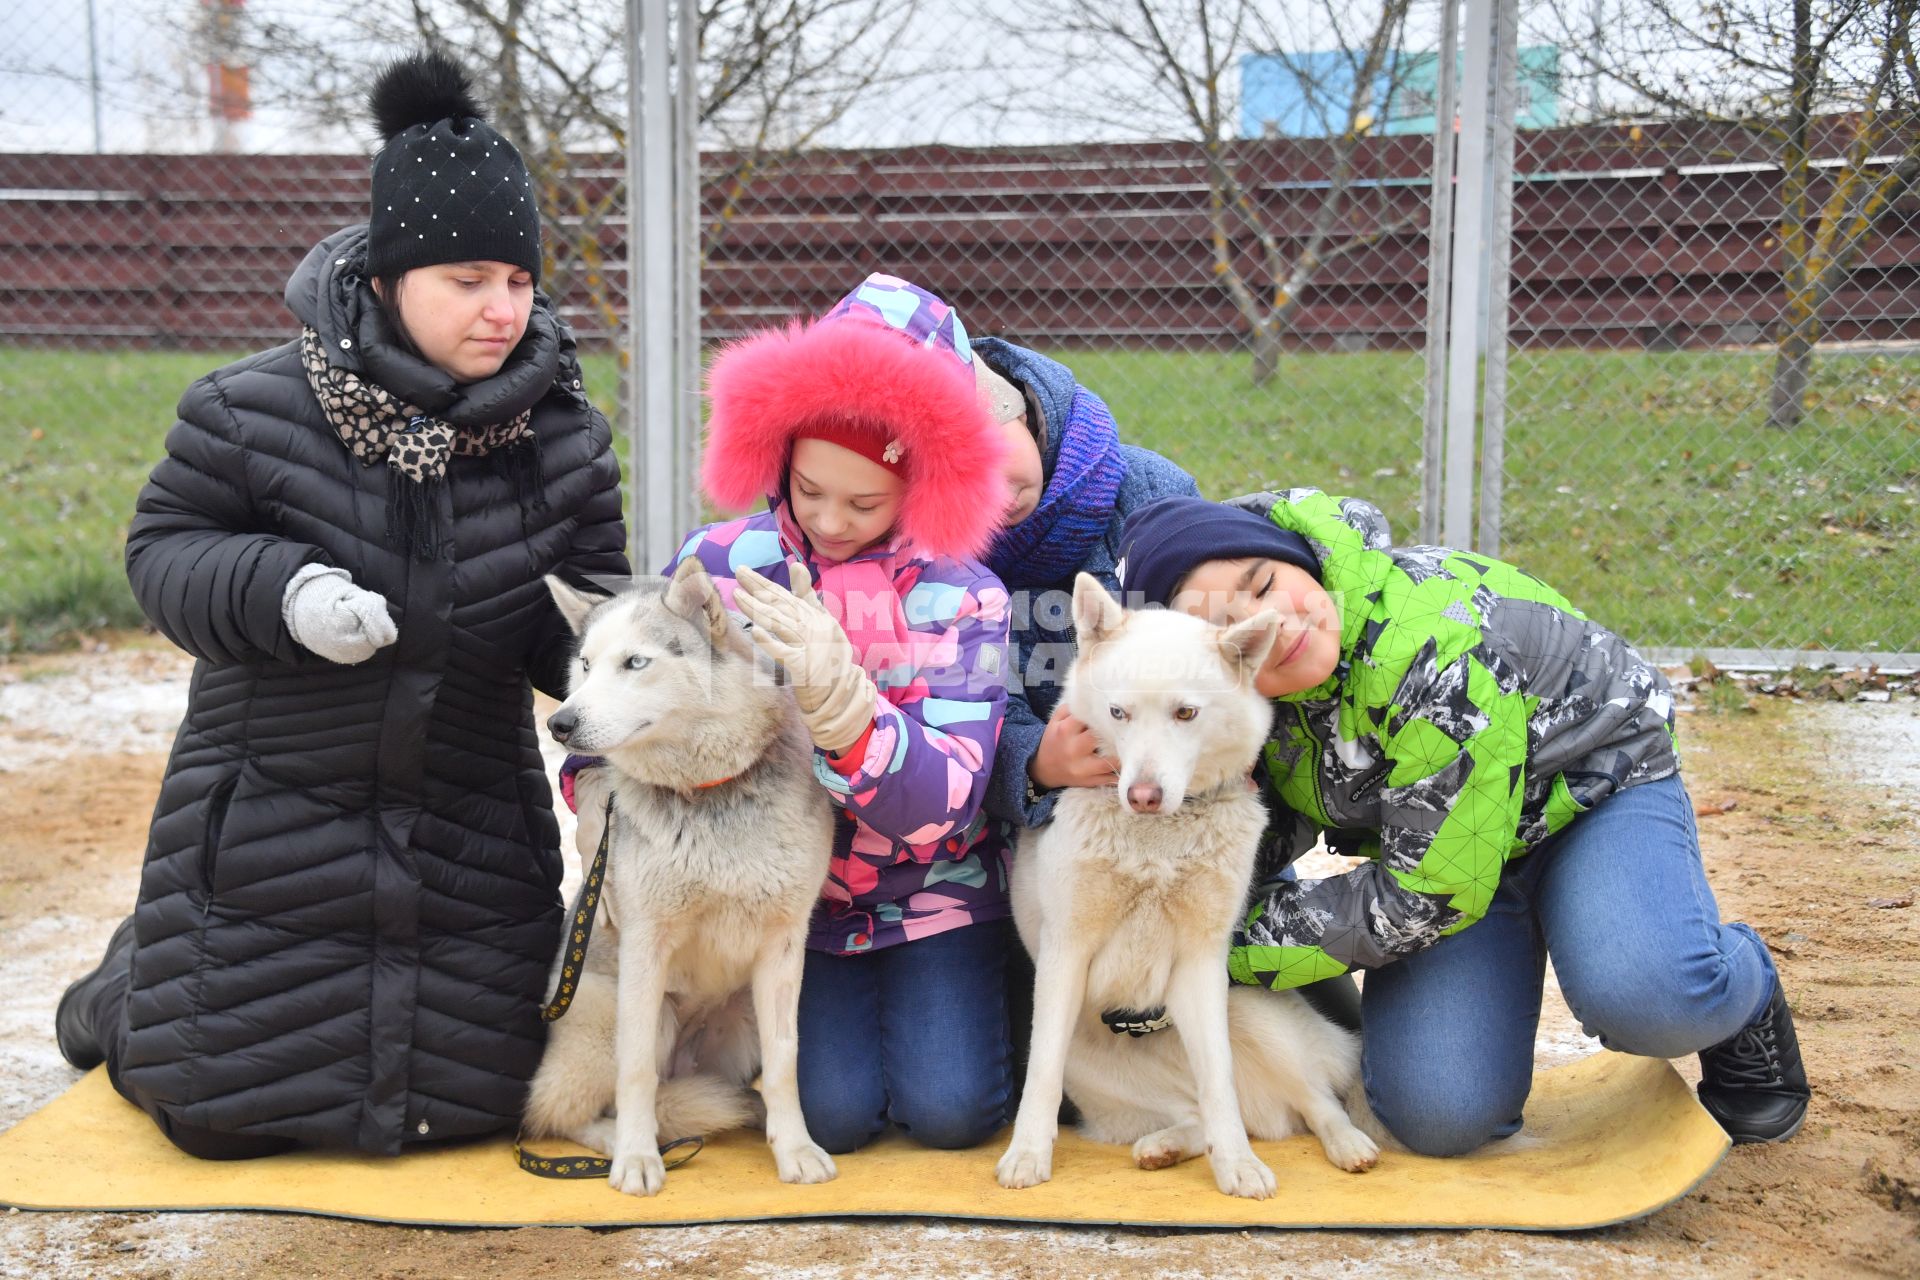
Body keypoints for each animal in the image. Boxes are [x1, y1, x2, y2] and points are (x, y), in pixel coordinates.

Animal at [522, 560, 837, 1205]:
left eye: (635, 662)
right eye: (584, 664)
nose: (560, 723)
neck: (709, 793)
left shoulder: (783, 948)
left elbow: (785, 1064)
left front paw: (795, 1151)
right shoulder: (646, 944)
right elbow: (636, 1072)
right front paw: (638, 1159)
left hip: (739, 1026)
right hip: (621, 1017)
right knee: (560, 1112)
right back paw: (623, 1139)